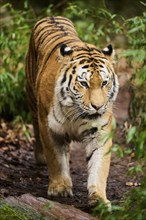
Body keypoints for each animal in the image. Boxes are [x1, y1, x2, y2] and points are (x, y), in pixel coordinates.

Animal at [25, 15, 118, 208]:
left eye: (104, 83)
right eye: (84, 83)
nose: (98, 106)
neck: (76, 112)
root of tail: (51, 17)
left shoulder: (100, 133)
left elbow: (99, 166)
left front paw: (99, 199)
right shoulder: (49, 128)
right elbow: (55, 159)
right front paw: (60, 188)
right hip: (32, 99)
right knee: (36, 128)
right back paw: (41, 157)